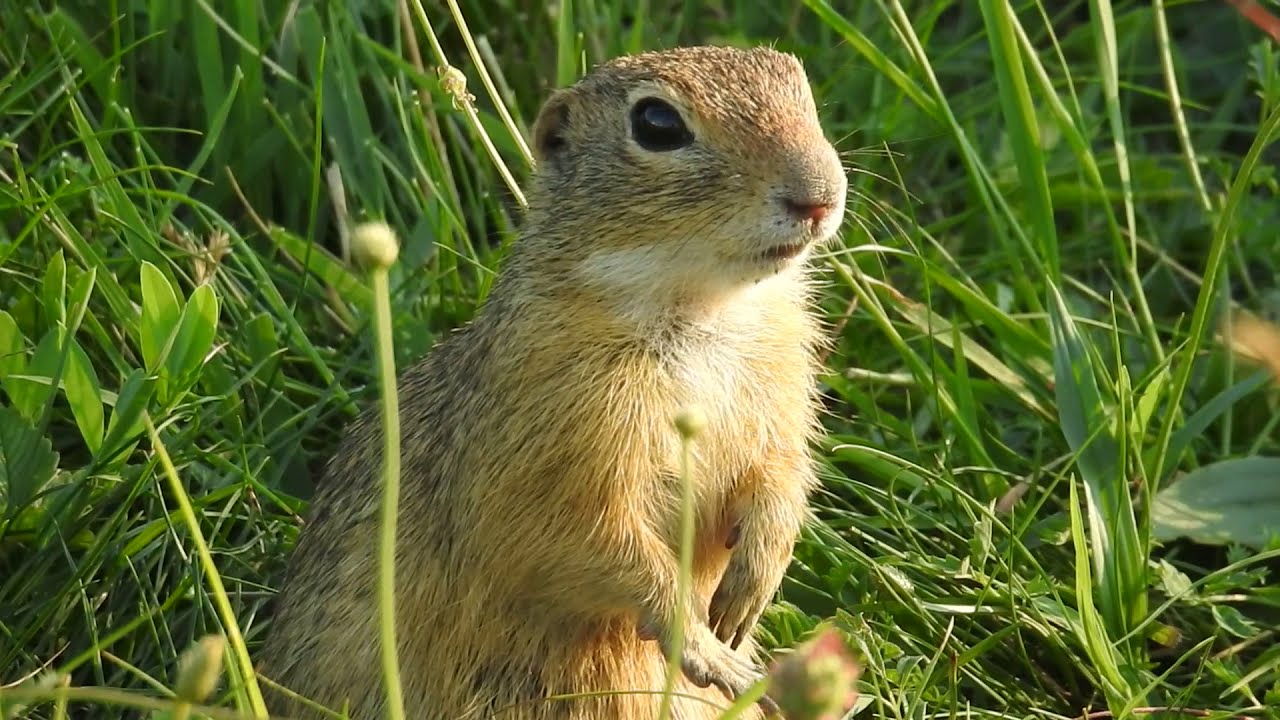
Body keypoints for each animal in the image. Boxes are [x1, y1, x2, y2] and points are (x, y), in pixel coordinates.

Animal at [258, 44, 847, 720]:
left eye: (797, 82)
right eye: (657, 124)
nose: (818, 197)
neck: (703, 309)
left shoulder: (781, 403)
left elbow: (781, 481)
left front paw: (752, 589)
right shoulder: (557, 457)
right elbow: (599, 549)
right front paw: (708, 650)